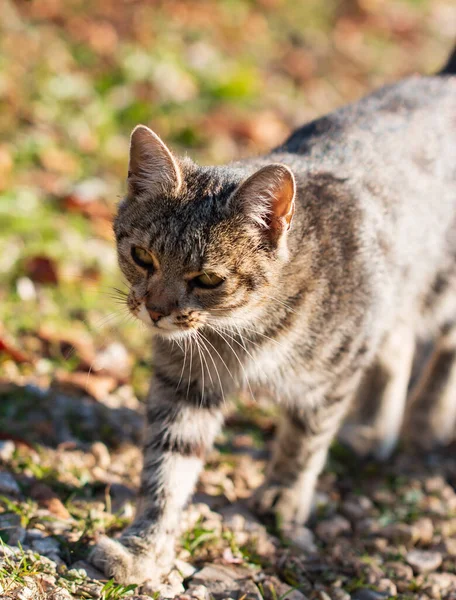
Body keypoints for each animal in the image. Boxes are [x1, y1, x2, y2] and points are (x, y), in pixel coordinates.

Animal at [91, 48, 456, 584]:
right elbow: (167, 465)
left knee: (441, 344)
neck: (242, 332)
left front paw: (284, 494)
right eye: (142, 257)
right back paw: (373, 428)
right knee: (399, 339)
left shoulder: (333, 375)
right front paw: (144, 545)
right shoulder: (184, 381)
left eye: (208, 279)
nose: (156, 311)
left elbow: (304, 441)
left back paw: (427, 420)